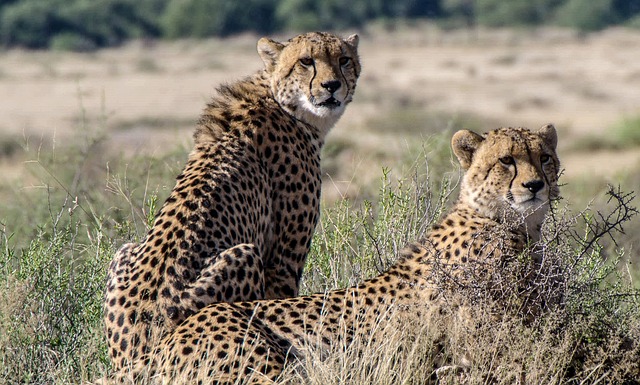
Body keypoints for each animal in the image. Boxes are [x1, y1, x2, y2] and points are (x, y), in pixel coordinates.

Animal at [102, 32, 358, 368]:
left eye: (344, 59)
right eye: (306, 61)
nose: (332, 85)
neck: (282, 102)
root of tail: (133, 353)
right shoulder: (283, 262)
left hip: (123, 251)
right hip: (245, 255)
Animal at [111, 124, 560, 382]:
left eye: (545, 157)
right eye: (506, 160)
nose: (536, 185)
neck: (508, 222)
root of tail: (162, 342)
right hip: (267, 367)